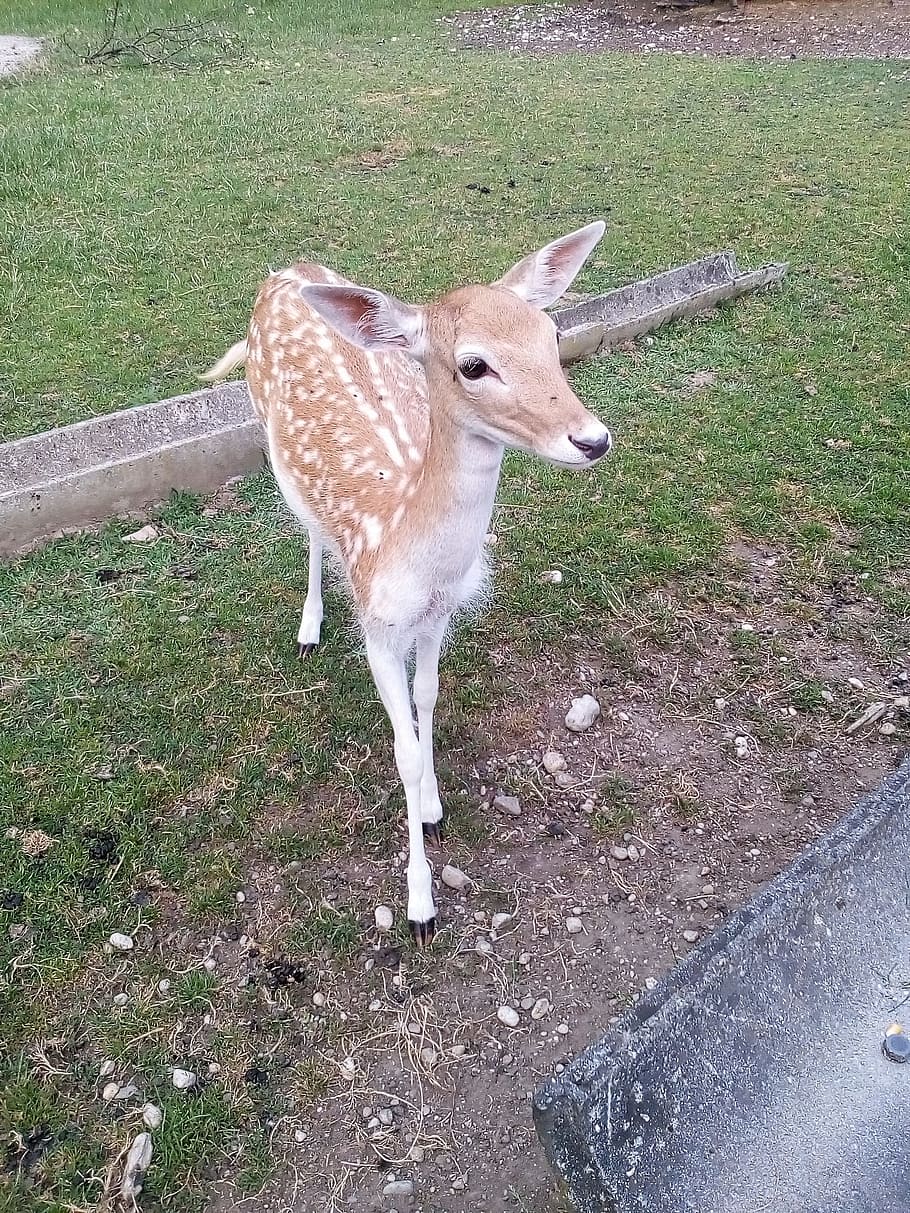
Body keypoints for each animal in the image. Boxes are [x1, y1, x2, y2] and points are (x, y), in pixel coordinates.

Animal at [203, 221, 612, 946]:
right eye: (474, 364)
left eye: (550, 333)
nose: (593, 439)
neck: (409, 547)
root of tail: (286, 272)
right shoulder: (379, 629)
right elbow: (404, 753)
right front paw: (421, 904)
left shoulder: (439, 614)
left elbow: (429, 701)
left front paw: (433, 808)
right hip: (269, 444)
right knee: (310, 531)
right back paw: (309, 624)